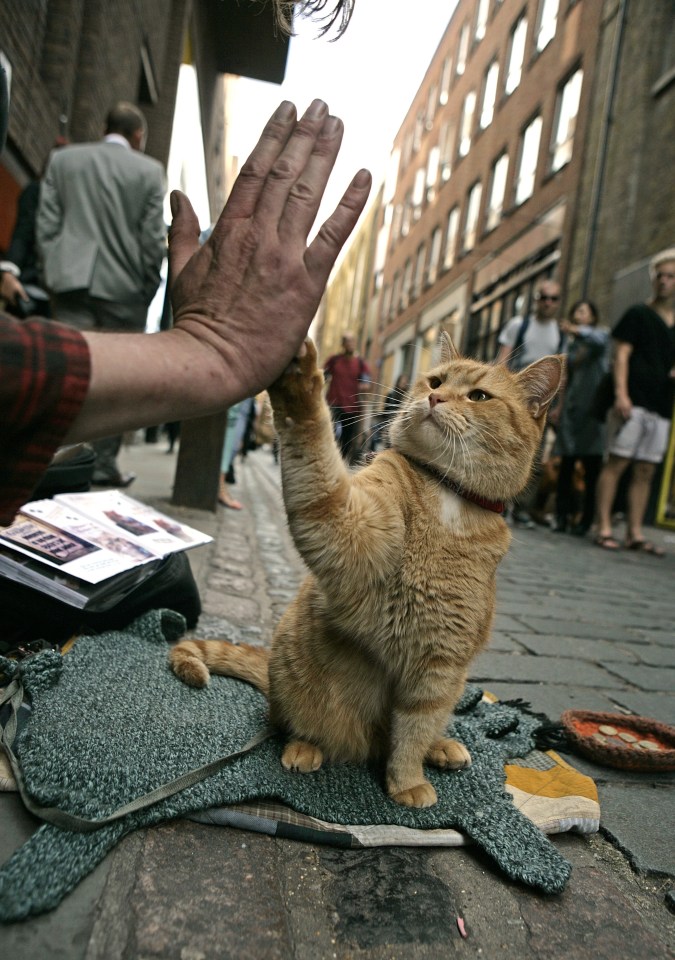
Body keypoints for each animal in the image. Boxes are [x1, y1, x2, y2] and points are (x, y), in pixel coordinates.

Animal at [170, 338, 564, 808]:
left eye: (479, 396)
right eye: (435, 382)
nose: (434, 399)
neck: (448, 497)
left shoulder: (439, 666)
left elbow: (413, 730)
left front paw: (407, 779)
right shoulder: (346, 531)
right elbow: (313, 451)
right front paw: (300, 384)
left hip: (453, 685)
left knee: (425, 729)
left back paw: (441, 747)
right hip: (295, 681)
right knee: (291, 723)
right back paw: (305, 747)